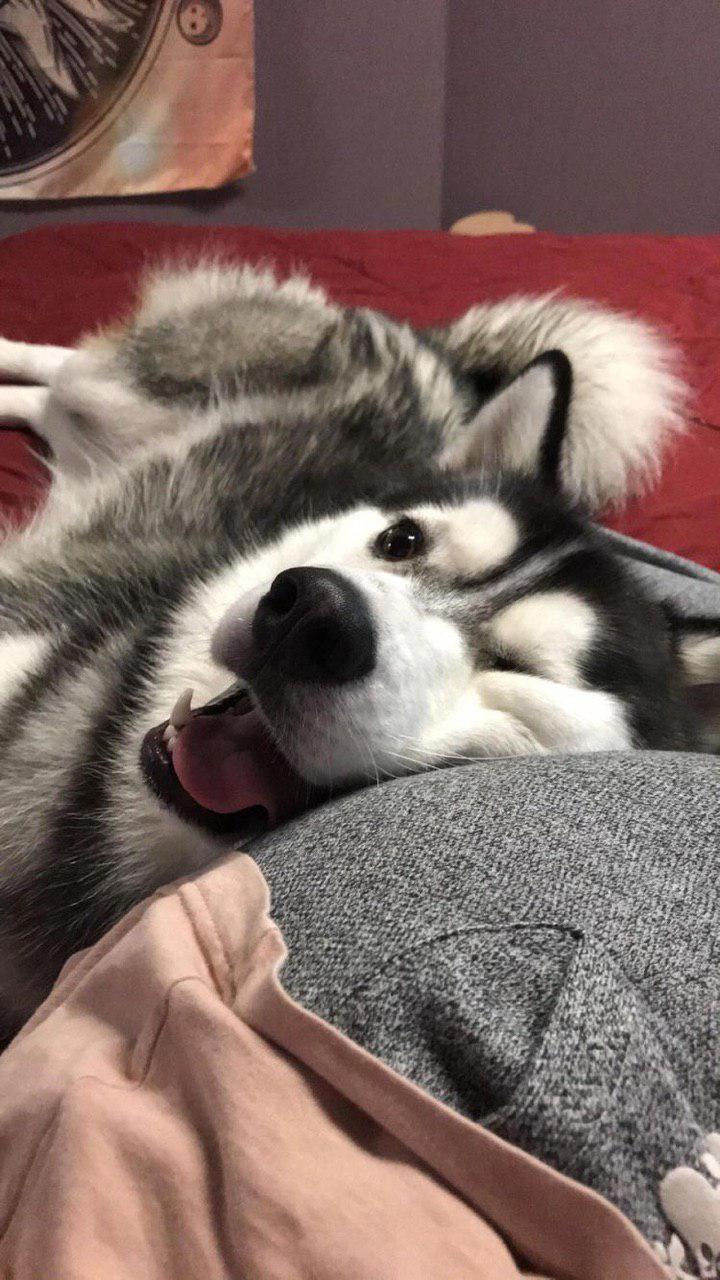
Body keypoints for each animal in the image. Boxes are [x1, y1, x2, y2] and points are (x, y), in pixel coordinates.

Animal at [0, 262, 712, 1039]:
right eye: (401, 541)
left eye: (520, 668)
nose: (311, 615)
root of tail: (446, 358)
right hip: (130, 391)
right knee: (64, 367)